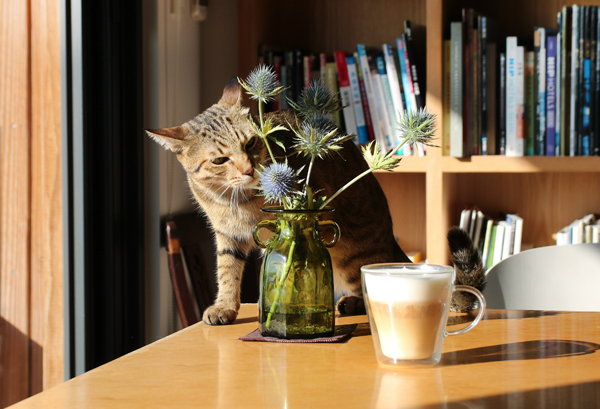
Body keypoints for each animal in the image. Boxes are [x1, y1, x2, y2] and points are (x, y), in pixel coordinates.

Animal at [148, 77, 486, 326]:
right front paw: (224, 307)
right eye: (220, 159)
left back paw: (351, 302)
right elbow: (227, 271)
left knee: (368, 285)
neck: (238, 198)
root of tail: (391, 242)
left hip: (350, 259)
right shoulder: (226, 233)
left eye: (251, 142)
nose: (248, 169)